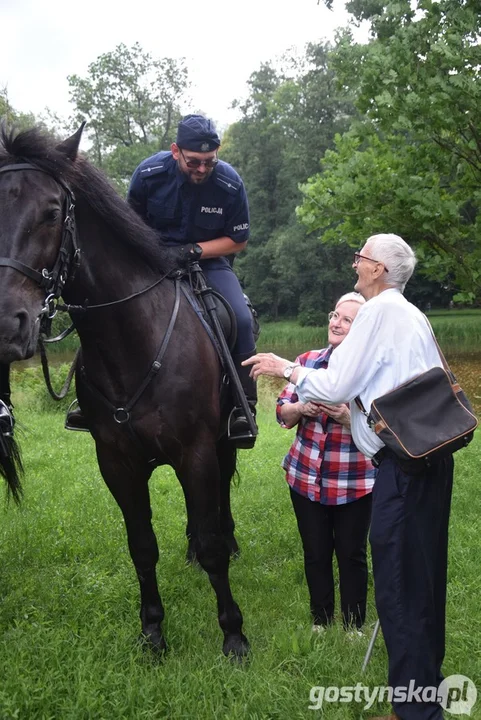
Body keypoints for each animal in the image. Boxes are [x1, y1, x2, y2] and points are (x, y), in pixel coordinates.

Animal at [0, 125, 248, 660]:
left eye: (52, 212)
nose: (9, 324)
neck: (133, 341)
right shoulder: (116, 461)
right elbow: (142, 546)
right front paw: (152, 630)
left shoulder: (197, 449)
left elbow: (214, 544)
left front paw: (233, 634)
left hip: (222, 442)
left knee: (221, 499)